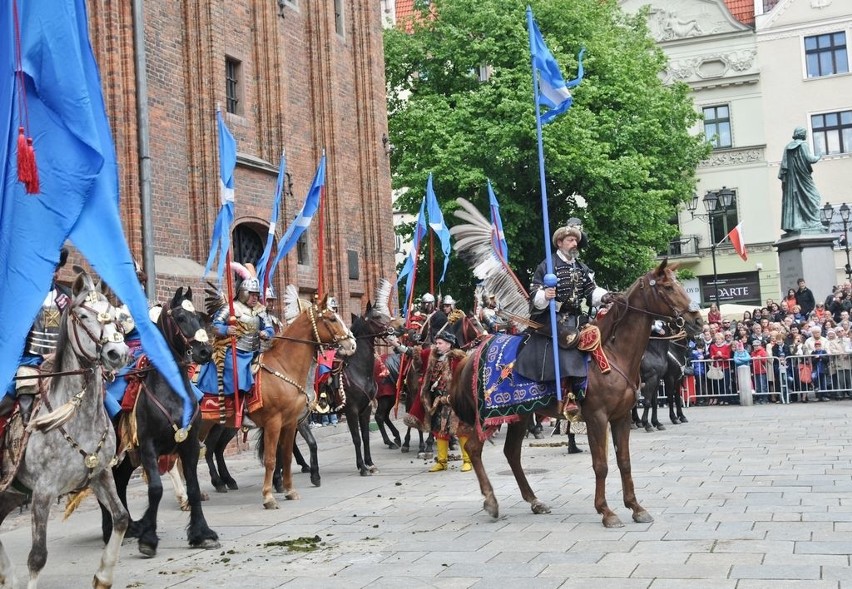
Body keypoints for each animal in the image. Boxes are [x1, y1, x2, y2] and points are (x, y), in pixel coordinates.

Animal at [0, 272, 130, 588]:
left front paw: (103, 576)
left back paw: (7, 575)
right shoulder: (43, 492)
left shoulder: (100, 474)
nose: (117, 353)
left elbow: (121, 518)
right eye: (83, 315)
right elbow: (37, 556)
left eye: (113, 314)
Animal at [99, 288, 220, 560]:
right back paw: (111, 529)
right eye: (180, 317)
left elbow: (193, 487)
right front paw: (148, 539)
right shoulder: (148, 446)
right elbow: (155, 489)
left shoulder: (188, 445)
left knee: (119, 483)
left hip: (125, 458)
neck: (170, 391)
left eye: (198, 317)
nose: (204, 352)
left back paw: (128, 526)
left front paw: (202, 533)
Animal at [450, 260, 704, 524]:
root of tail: (471, 356)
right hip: (488, 415)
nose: (697, 320)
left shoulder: (621, 417)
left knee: (511, 453)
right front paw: (606, 511)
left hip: (519, 415)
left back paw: (534, 501)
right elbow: (601, 464)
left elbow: (624, 461)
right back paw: (491, 501)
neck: (614, 354)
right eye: (668, 287)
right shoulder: (597, 417)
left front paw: (635, 507)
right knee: (474, 448)